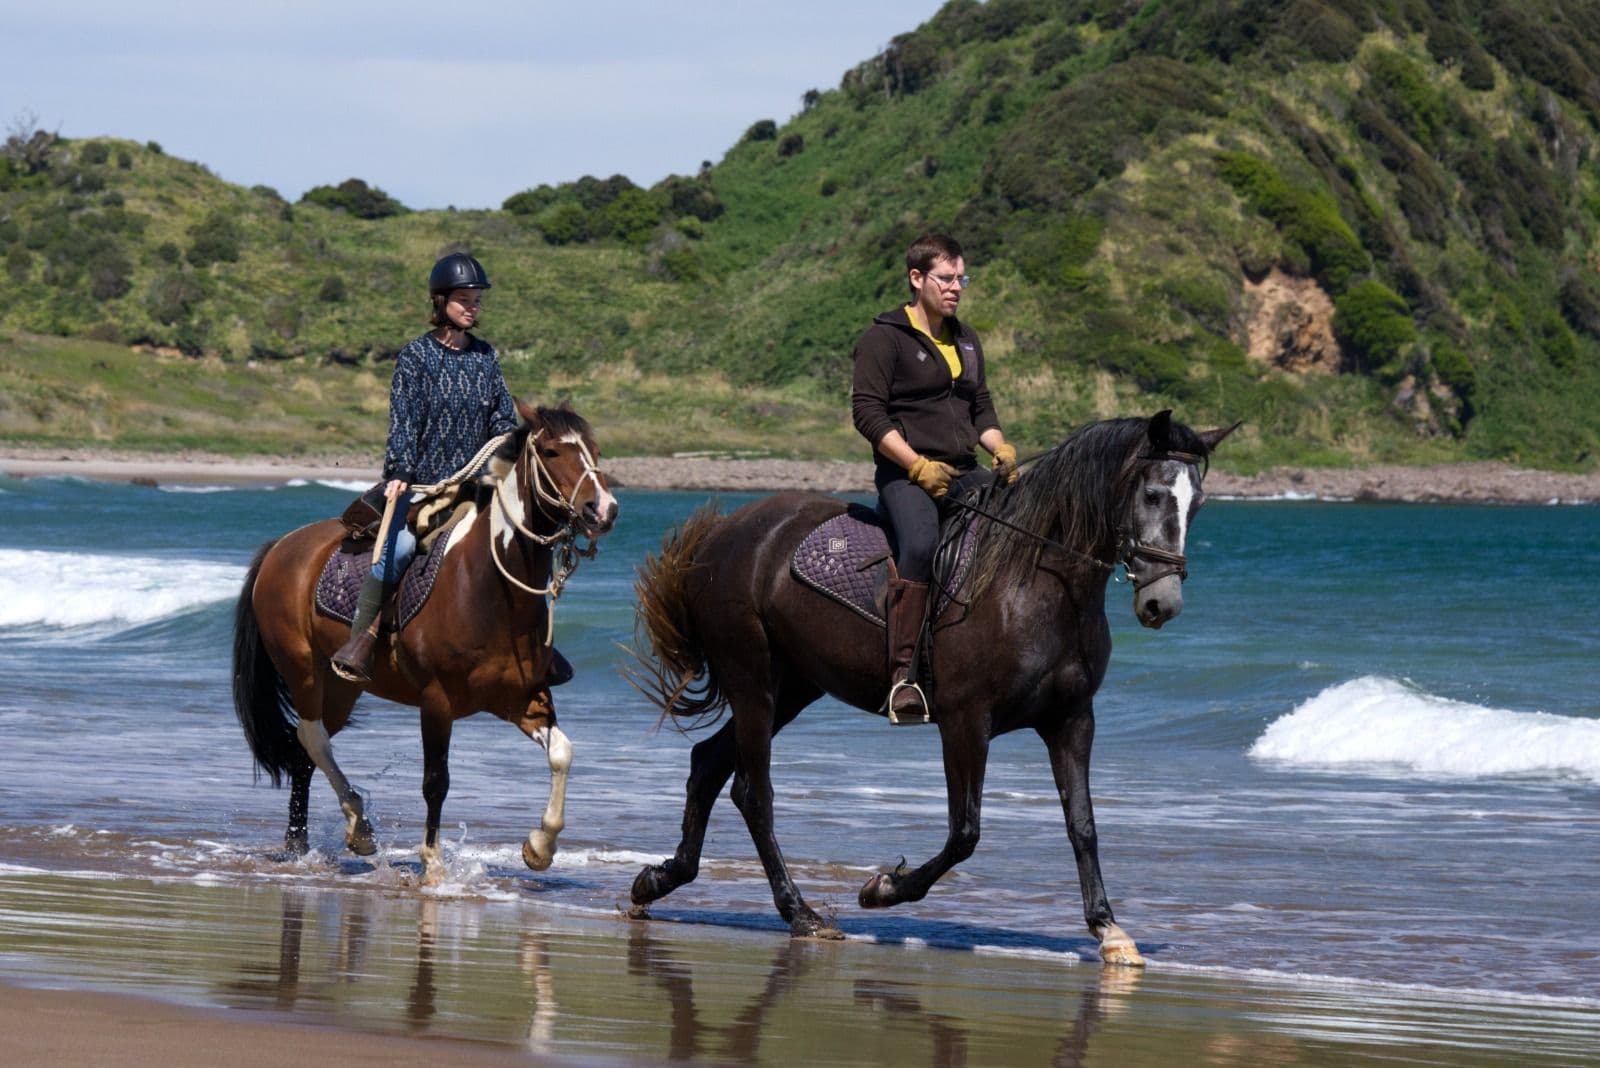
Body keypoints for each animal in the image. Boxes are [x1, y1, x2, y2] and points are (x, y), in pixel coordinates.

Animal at [232, 401, 618, 882]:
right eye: (550, 452)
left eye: (596, 451)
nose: (604, 510)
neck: (489, 588)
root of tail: (281, 547)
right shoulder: (437, 702)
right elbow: (436, 781)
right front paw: (432, 860)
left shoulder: (524, 698)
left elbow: (562, 754)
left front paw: (539, 847)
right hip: (302, 668)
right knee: (313, 737)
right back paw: (357, 824)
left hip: (341, 686)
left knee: (307, 749)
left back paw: (306, 841)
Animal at [626, 411, 1233, 964]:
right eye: (1153, 495)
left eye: (1199, 504)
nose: (1162, 604)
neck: (1036, 583)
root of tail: (725, 534)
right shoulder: (966, 721)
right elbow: (965, 832)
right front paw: (882, 889)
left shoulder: (1071, 720)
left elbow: (1082, 826)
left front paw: (1109, 929)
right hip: (753, 679)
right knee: (753, 793)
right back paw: (801, 913)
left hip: (792, 687)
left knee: (708, 764)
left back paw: (656, 882)